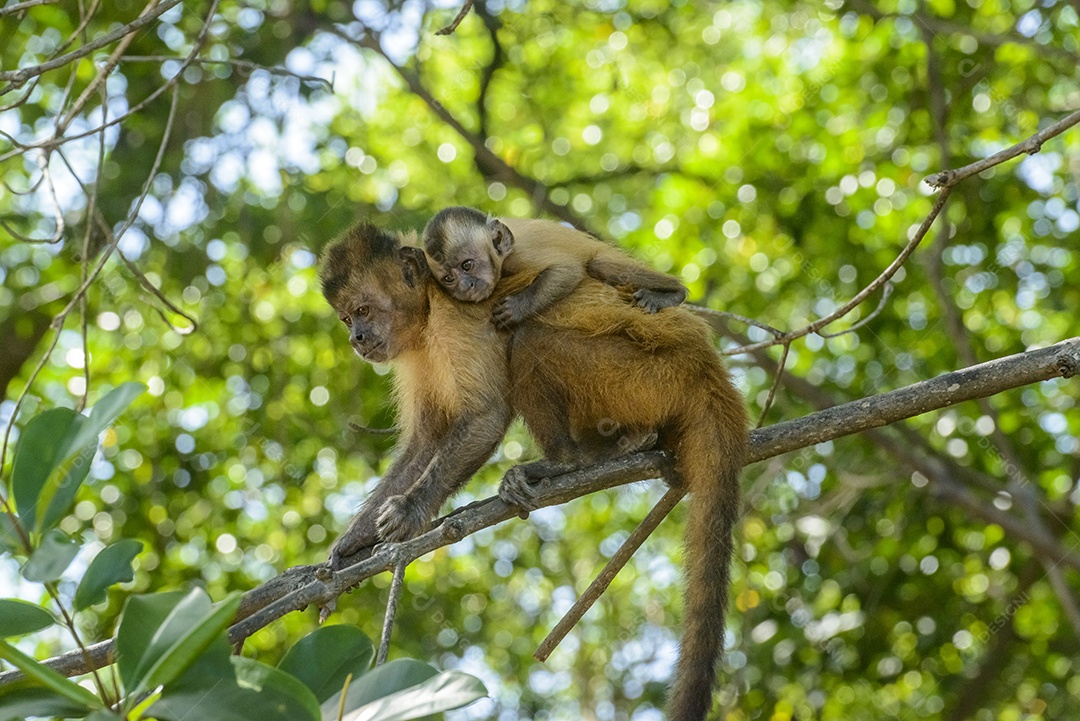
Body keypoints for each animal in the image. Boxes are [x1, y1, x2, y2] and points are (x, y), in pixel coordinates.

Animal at [421, 206, 688, 327]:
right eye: (449, 279)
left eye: (467, 265)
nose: (466, 286)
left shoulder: (521, 254)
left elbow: (567, 270)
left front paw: (518, 308)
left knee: (600, 265)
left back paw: (673, 293)